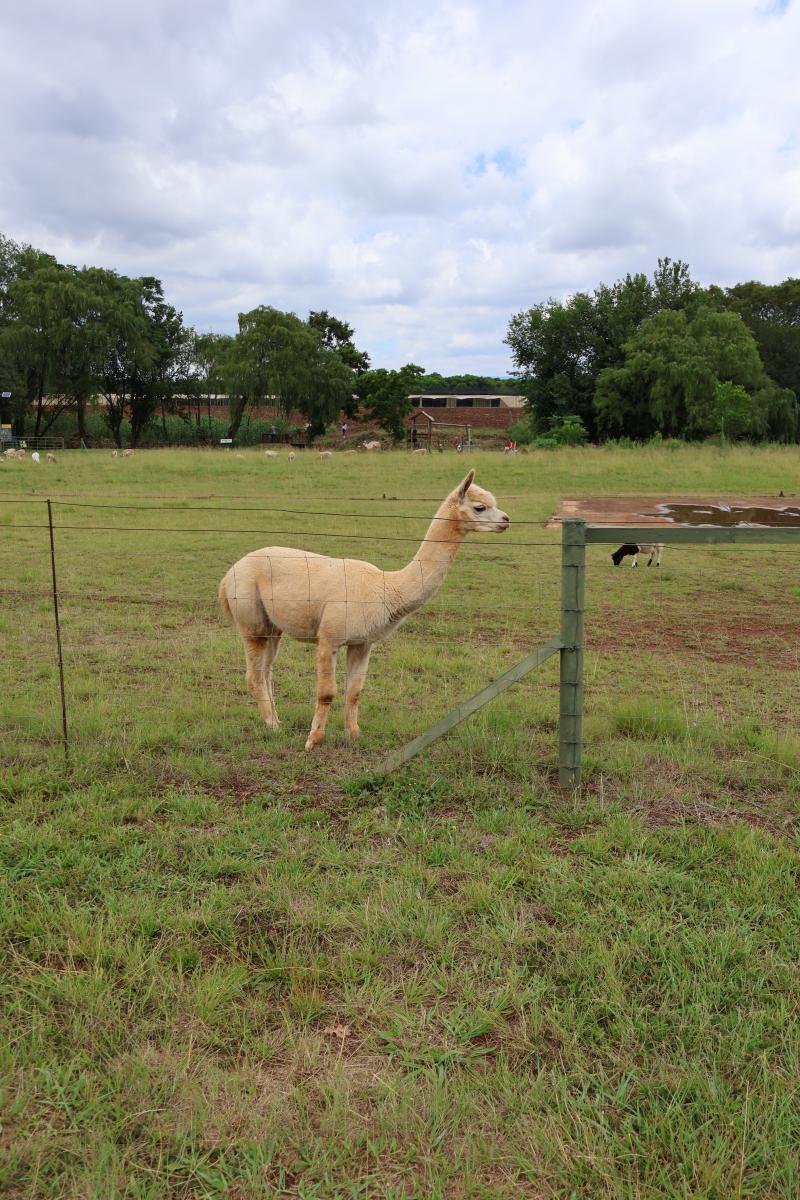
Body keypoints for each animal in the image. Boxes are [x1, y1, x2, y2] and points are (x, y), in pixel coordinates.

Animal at [219, 469, 510, 750]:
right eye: (480, 507)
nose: (506, 519)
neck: (387, 588)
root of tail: (228, 574)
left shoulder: (362, 642)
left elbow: (354, 692)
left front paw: (353, 736)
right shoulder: (330, 637)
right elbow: (327, 693)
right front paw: (313, 741)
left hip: (272, 626)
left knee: (267, 671)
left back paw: (276, 720)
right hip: (250, 616)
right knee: (254, 675)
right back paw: (272, 725)